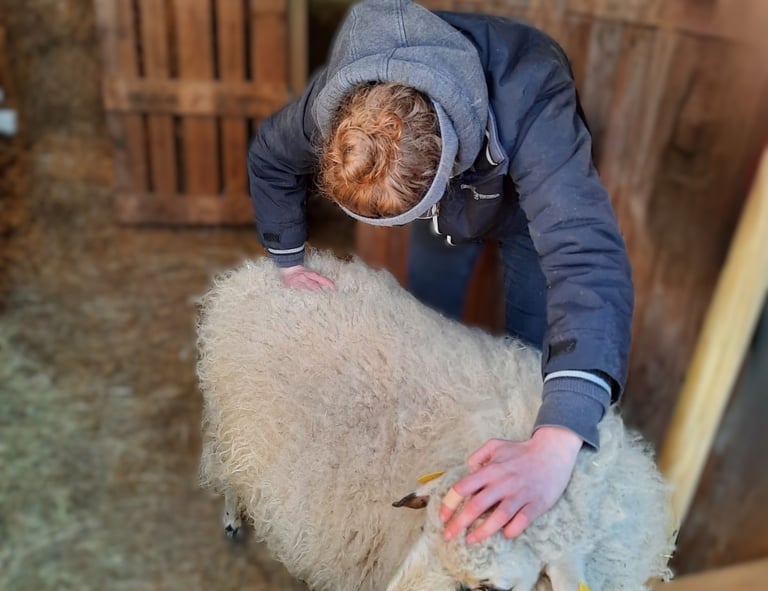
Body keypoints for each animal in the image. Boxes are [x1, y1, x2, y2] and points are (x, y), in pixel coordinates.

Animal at [197, 250, 674, 591]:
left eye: (485, 588)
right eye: (424, 528)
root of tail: (254, 273)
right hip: (230, 427)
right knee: (229, 477)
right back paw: (232, 518)